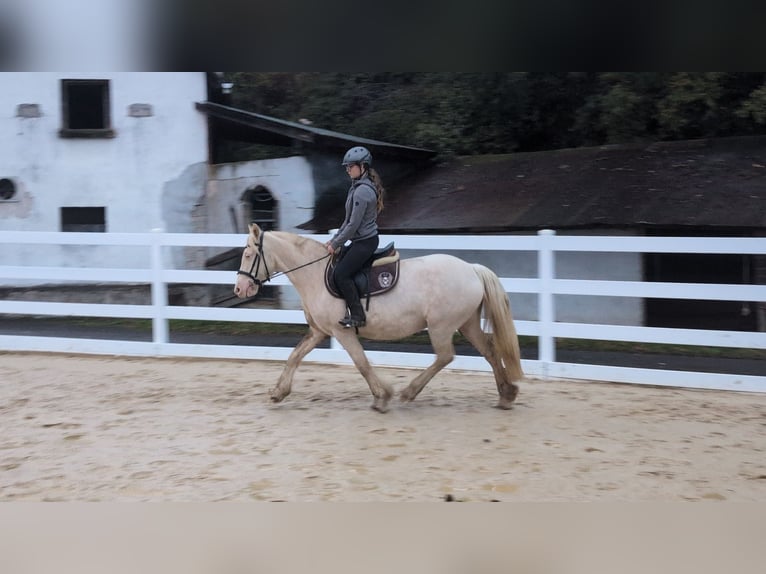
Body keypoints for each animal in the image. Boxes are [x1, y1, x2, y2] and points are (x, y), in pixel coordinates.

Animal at [233, 223, 524, 412]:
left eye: (248, 254)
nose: (239, 289)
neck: (315, 273)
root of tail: (472, 269)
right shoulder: (320, 332)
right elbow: (294, 356)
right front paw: (278, 393)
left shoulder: (342, 331)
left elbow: (361, 363)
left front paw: (382, 397)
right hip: (466, 323)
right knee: (488, 351)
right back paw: (506, 395)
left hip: (441, 326)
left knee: (445, 356)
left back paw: (409, 392)